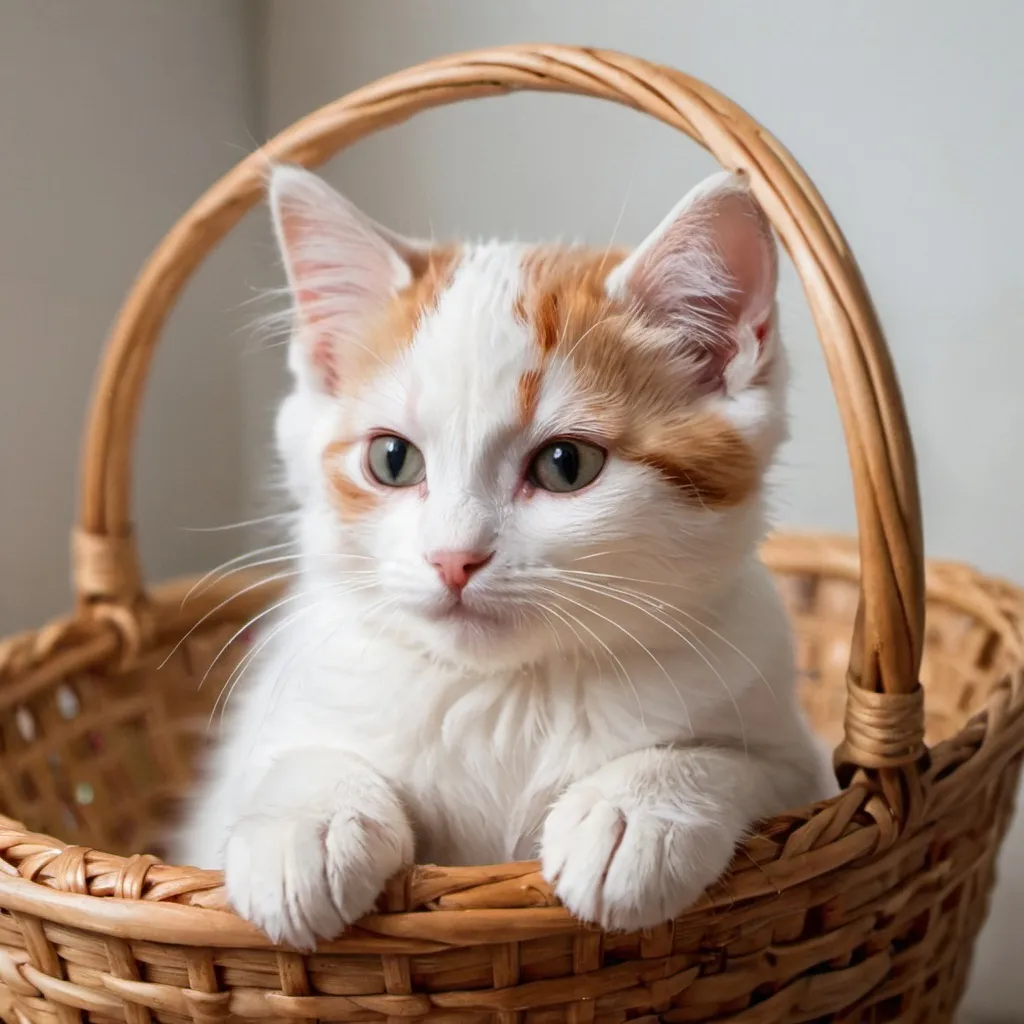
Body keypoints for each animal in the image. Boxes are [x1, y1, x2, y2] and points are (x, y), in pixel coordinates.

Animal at [174, 165, 831, 942]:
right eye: (392, 459)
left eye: (567, 465)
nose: (453, 558)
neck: (509, 692)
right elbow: (298, 756)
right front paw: (306, 821)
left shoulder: (801, 762)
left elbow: (742, 764)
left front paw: (634, 808)